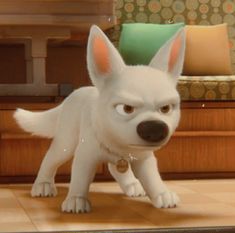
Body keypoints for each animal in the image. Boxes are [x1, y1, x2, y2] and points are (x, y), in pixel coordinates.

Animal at [14, 25, 185, 213]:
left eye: (166, 108)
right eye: (125, 109)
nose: (155, 129)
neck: (119, 146)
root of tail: (73, 94)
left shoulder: (144, 158)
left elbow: (152, 177)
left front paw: (162, 194)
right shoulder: (85, 155)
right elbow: (80, 178)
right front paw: (76, 199)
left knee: (115, 168)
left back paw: (132, 184)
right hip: (66, 143)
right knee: (50, 159)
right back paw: (43, 184)